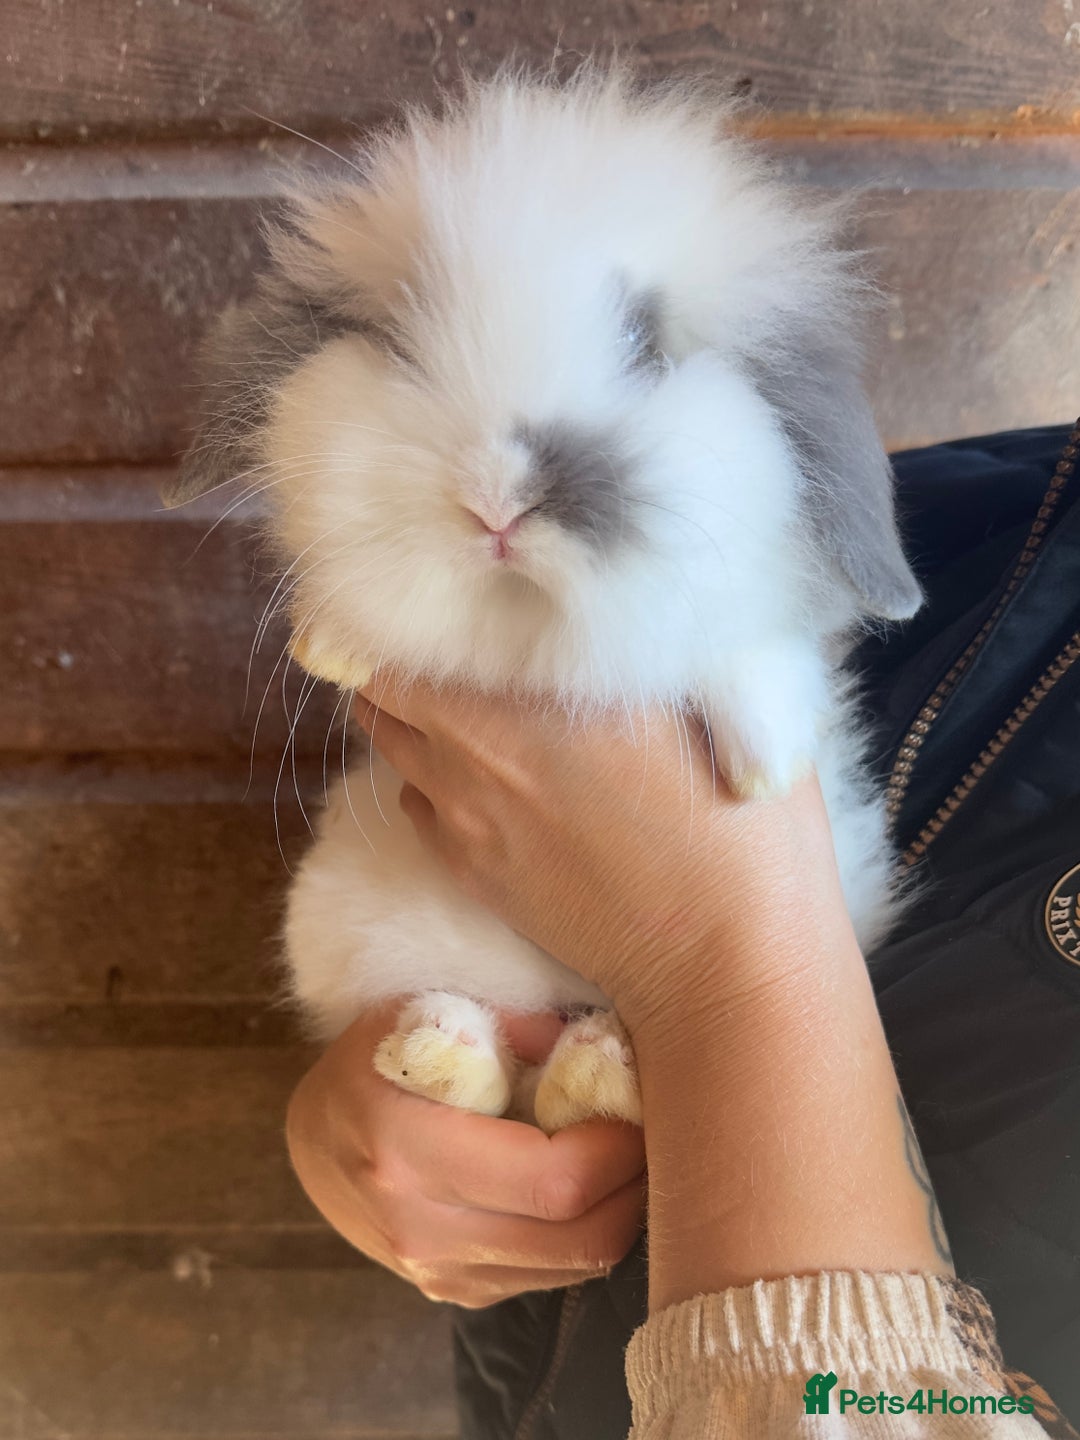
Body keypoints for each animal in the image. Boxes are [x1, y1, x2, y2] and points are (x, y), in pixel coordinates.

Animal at [168, 65, 922, 1134]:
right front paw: (335, 642)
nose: (497, 499)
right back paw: (444, 1058)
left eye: (647, 344)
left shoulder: (760, 610)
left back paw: (601, 1068)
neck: (523, 614)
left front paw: (766, 768)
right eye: (402, 337)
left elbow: (754, 643)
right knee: (505, 1083)